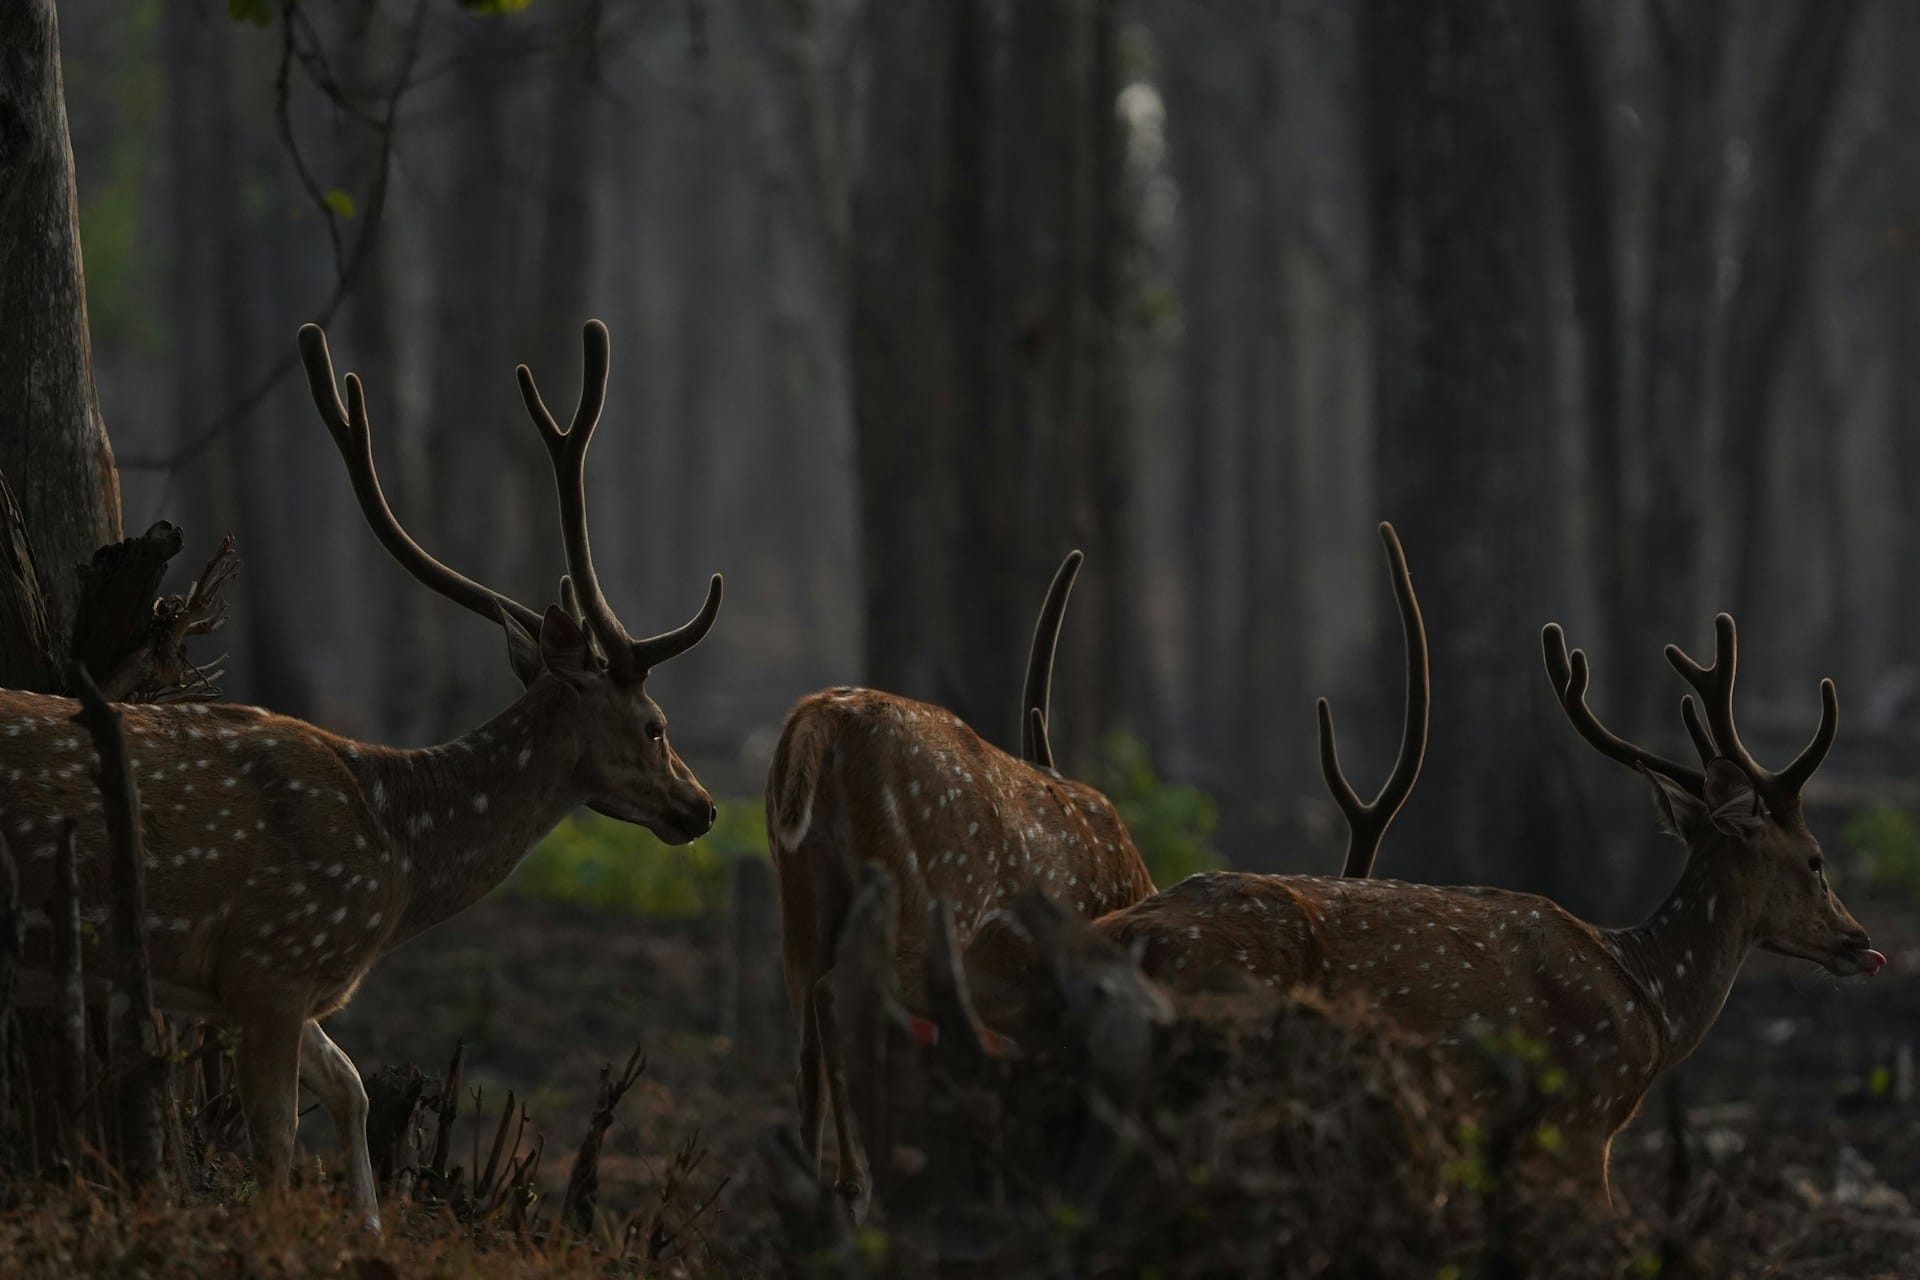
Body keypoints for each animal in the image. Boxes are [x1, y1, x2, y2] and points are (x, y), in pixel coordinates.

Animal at [2, 319, 723, 1230]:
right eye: (655, 725)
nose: (702, 807)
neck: (395, 860)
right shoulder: (274, 955)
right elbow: (277, 1143)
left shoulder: (269, 982)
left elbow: (353, 1089)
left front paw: (370, 1230)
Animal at [766, 549, 1155, 1218]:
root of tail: (822, 717)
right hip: (925, 899)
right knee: (839, 994)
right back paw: (854, 1187)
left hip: (801, 897)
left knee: (804, 1042)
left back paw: (807, 1196)